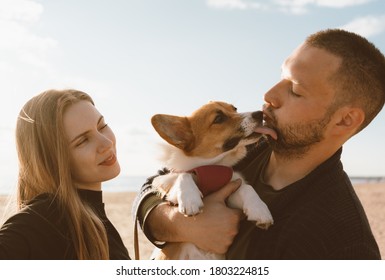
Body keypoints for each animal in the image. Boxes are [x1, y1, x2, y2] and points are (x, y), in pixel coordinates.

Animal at [150, 101, 276, 260]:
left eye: (234, 109)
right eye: (219, 119)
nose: (260, 113)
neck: (213, 167)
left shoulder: (230, 196)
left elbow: (247, 188)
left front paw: (260, 210)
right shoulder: (169, 192)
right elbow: (184, 175)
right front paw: (190, 200)